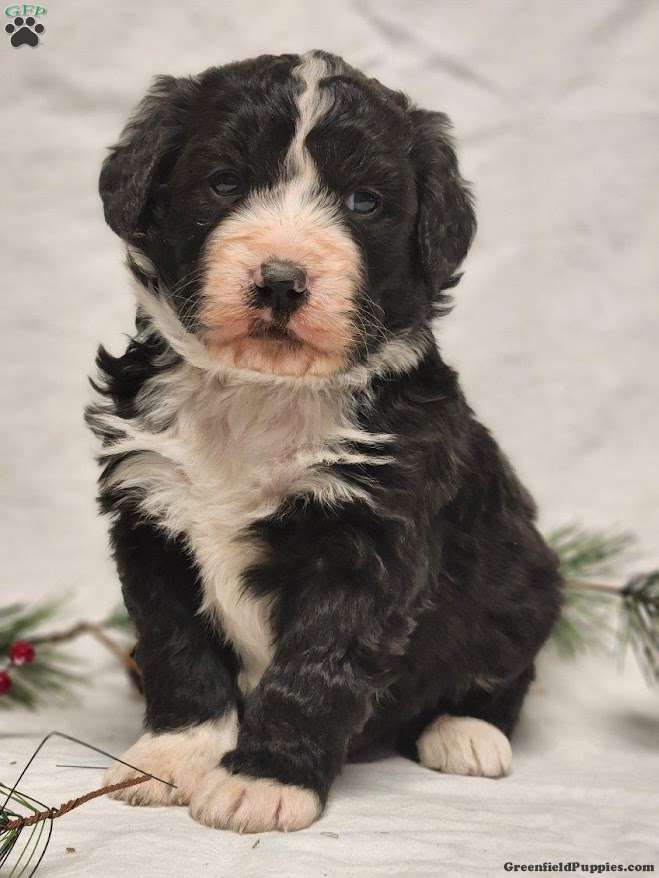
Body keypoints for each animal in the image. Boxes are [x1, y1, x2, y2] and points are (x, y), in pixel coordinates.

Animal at [86, 50, 562, 833]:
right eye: (225, 182)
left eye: (363, 201)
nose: (281, 283)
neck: (259, 392)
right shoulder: (151, 516)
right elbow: (178, 650)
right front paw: (172, 756)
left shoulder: (366, 537)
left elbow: (316, 668)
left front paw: (264, 780)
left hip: (522, 580)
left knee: (502, 668)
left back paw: (466, 731)